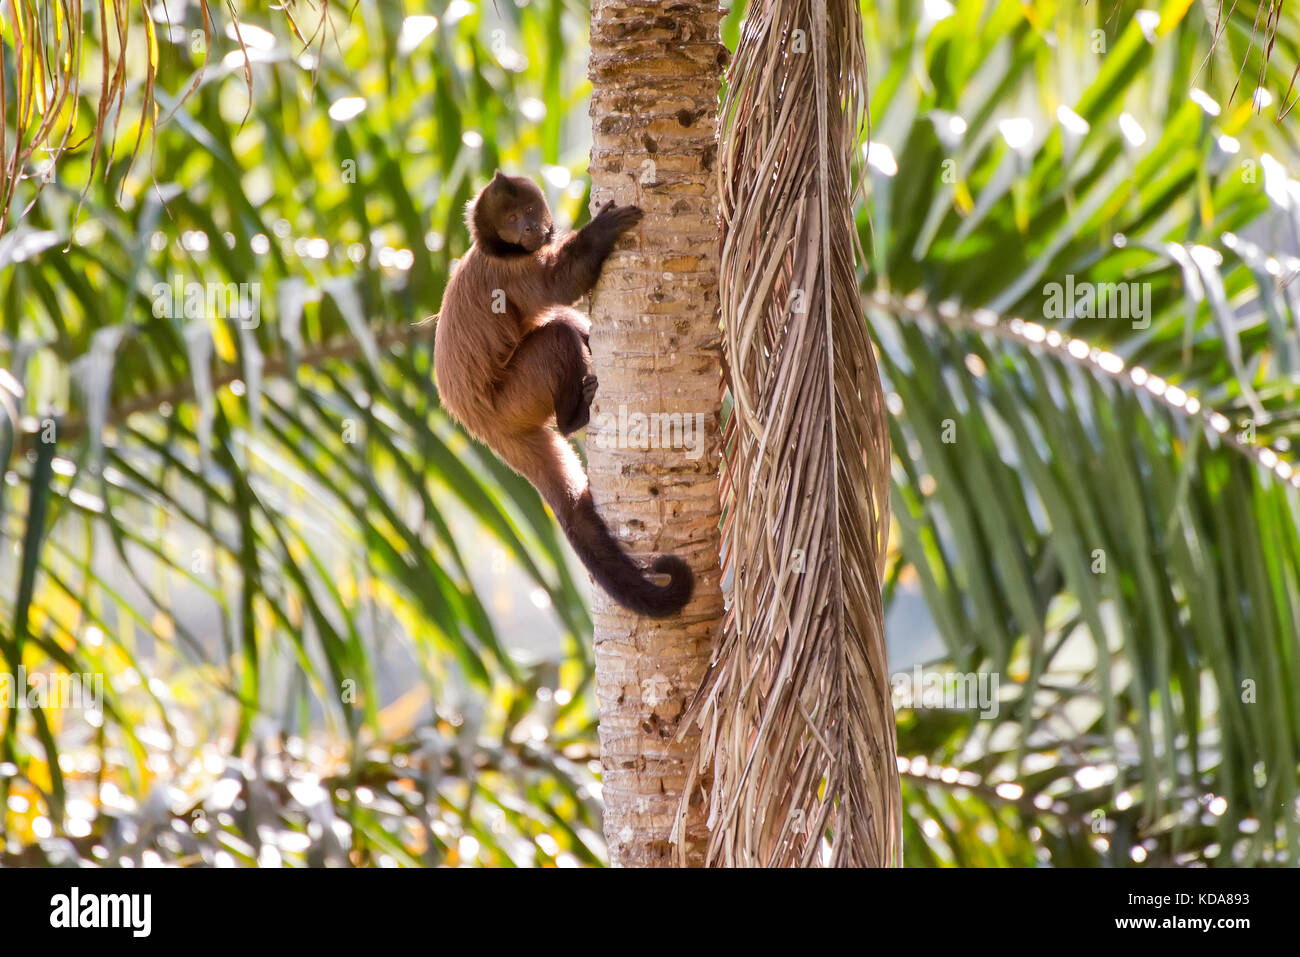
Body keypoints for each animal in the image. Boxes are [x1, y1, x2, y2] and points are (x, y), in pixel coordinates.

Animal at [433, 171, 694, 618]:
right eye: (512, 219)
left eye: (529, 211)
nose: (528, 229)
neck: (495, 250)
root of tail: (480, 425)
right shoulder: (509, 273)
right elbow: (559, 285)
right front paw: (598, 234)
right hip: (513, 401)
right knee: (556, 334)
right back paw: (573, 418)